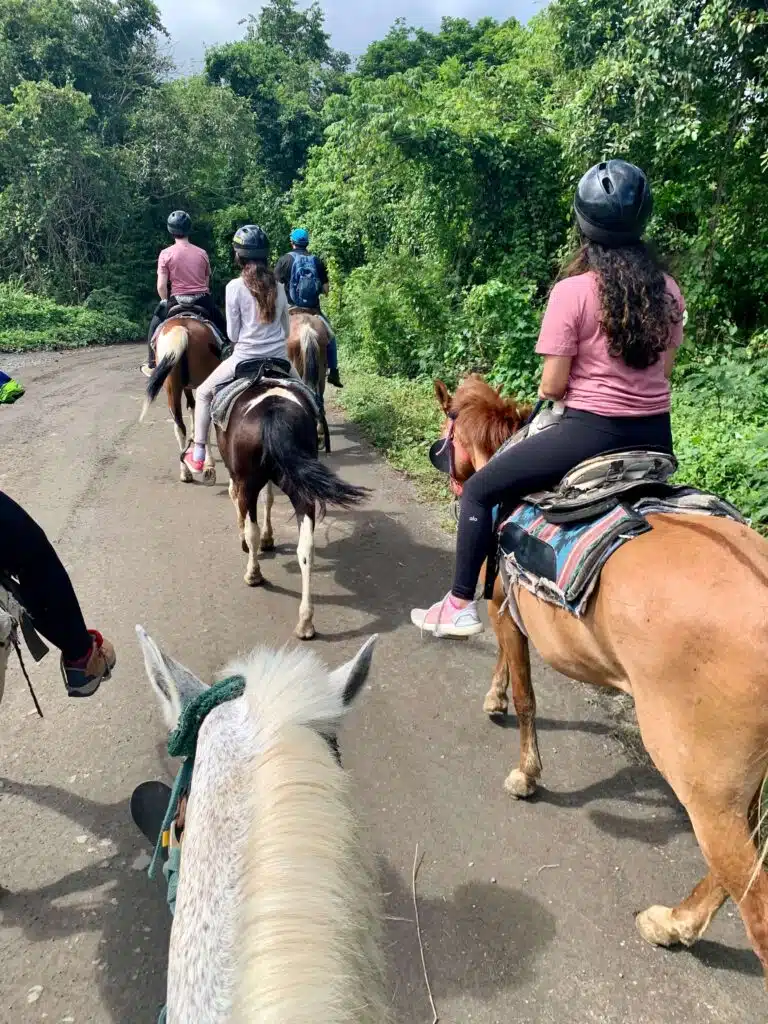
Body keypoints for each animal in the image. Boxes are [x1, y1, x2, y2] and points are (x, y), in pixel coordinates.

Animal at [140, 317, 222, 481]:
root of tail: (182, 328)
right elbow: (194, 408)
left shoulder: (185, 387)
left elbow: (191, 406)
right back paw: (208, 464)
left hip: (172, 387)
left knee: (179, 426)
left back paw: (185, 471)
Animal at [215, 364, 368, 634]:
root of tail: (272, 411)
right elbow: (269, 499)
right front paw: (269, 538)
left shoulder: (240, 479)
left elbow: (241, 502)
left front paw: (248, 540)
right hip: (300, 489)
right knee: (306, 547)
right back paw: (305, 621)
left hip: (249, 483)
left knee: (252, 526)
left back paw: (253, 574)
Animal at [434, 374, 768, 974]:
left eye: (446, 432)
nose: (450, 475)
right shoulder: (505, 604)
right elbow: (506, 666)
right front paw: (494, 698)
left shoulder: (501, 606)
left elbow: (527, 695)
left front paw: (527, 773)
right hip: (737, 787)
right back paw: (675, 924)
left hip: (705, 783)